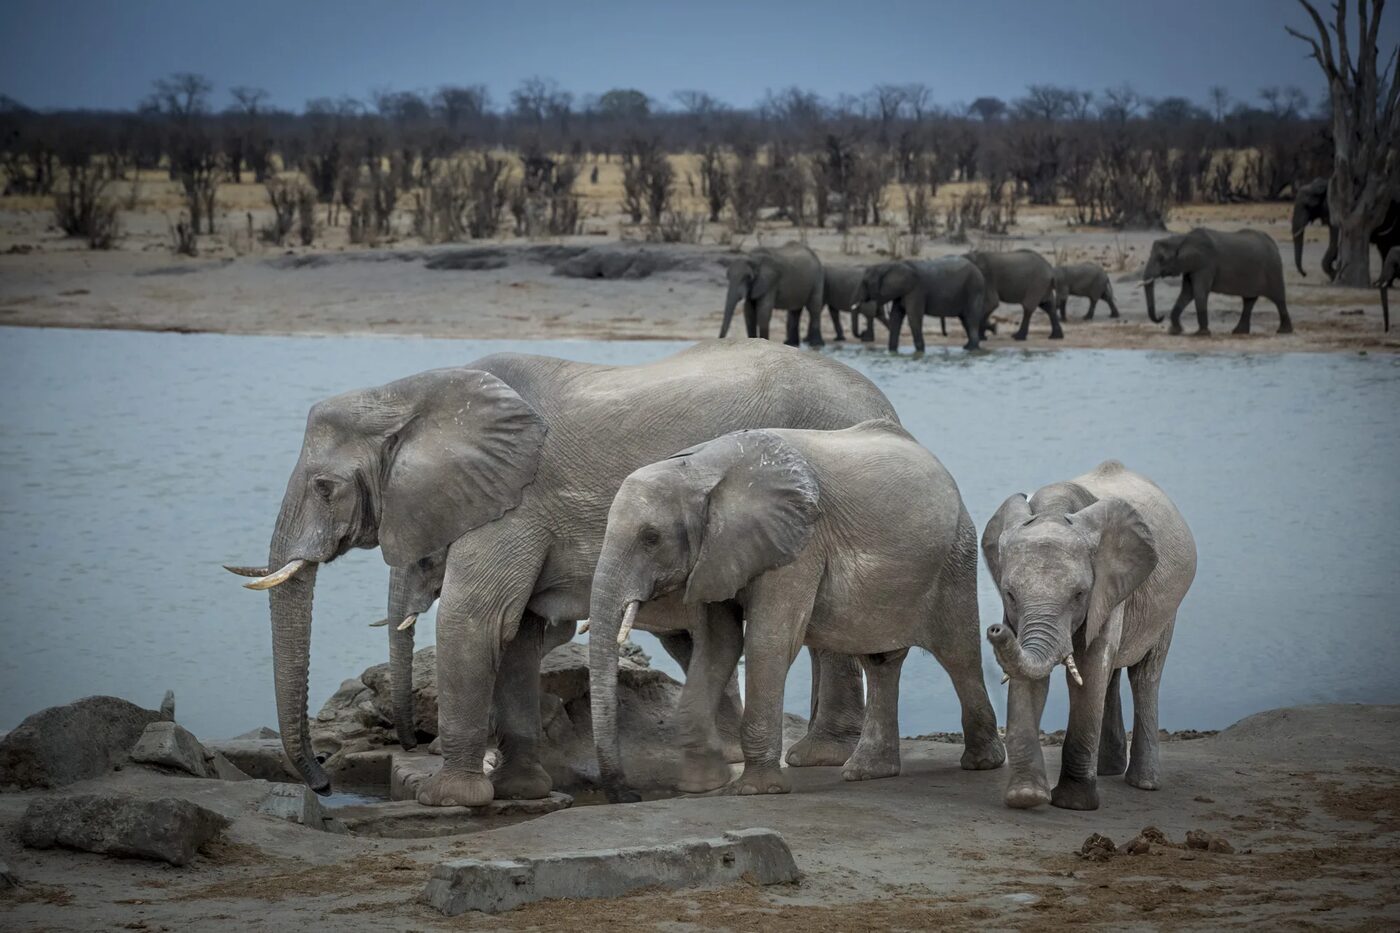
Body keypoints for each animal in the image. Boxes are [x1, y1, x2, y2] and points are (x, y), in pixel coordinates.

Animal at [232, 340, 893, 807]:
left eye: (324, 487)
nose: (321, 783)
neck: (412, 392)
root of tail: (883, 405)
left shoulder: (518, 500)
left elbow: (478, 620)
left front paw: (447, 797)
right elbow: (518, 631)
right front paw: (522, 789)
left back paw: (816, 757)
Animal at [588, 420, 1006, 801]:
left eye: (651, 538)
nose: (628, 795)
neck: (699, 467)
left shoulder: (799, 544)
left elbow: (768, 641)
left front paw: (755, 791)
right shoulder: (716, 554)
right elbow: (718, 646)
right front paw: (701, 784)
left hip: (954, 557)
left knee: (958, 654)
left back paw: (982, 762)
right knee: (881, 661)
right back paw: (868, 771)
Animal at [855, 257, 989, 352]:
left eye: (865, 283)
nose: (862, 334)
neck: (889, 265)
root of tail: (979, 271)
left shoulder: (916, 290)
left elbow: (913, 317)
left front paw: (920, 351)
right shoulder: (902, 292)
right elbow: (895, 317)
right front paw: (892, 352)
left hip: (974, 290)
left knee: (971, 319)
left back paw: (971, 349)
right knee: (965, 320)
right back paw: (967, 348)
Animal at [981, 459, 1196, 812]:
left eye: (1079, 594)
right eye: (1010, 594)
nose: (994, 630)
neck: (1055, 508)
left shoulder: (1107, 588)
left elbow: (1090, 670)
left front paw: (1073, 804)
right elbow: (1031, 679)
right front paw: (1027, 797)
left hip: (1167, 608)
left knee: (1144, 676)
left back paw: (1144, 784)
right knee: (1112, 676)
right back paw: (1108, 770)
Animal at [1142, 227, 1292, 335]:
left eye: (1161, 258)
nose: (1161, 316)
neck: (1181, 239)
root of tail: (1273, 243)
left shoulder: (1205, 263)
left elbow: (1199, 292)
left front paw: (1201, 334)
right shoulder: (1191, 266)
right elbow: (1186, 293)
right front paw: (1175, 331)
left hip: (1273, 269)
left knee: (1278, 299)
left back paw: (1283, 331)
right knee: (1249, 301)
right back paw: (1239, 332)